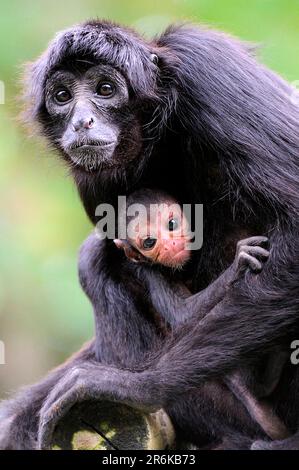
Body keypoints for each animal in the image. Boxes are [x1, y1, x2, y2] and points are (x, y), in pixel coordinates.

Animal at [115, 187, 290, 440]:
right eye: (149, 242)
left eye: (172, 224)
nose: (171, 245)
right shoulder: (149, 270)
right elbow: (184, 314)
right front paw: (236, 267)